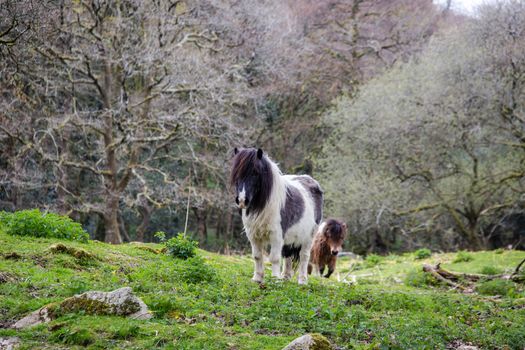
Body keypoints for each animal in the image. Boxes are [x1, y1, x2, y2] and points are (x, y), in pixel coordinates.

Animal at [230, 148, 322, 284]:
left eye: (255, 173)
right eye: (236, 172)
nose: (242, 200)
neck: (265, 204)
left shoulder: (276, 235)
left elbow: (274, 258)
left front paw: (274, 280)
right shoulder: (253, 235)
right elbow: (257, 256)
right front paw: (257, 278)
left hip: (309, 236)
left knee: (304, 256)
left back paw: (302, 281)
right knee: (288, 254)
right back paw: (285, 277)